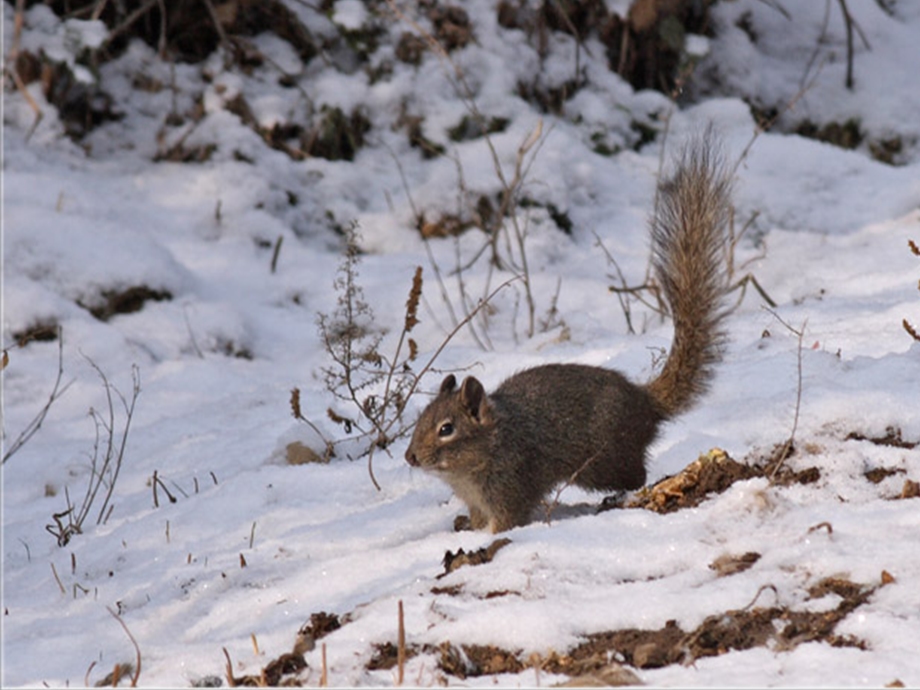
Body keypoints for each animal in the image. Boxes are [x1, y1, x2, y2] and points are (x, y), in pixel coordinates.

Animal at [404, 136, 732, 532]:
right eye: (422, 418)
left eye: (446, 429)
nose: (410, 457)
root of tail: (644, 401)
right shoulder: (477, 500)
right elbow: (477, 519)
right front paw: (466, 528)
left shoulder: (511, 485)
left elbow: (508, 521)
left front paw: (488, 537)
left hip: (604, 461)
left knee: (636, 475)